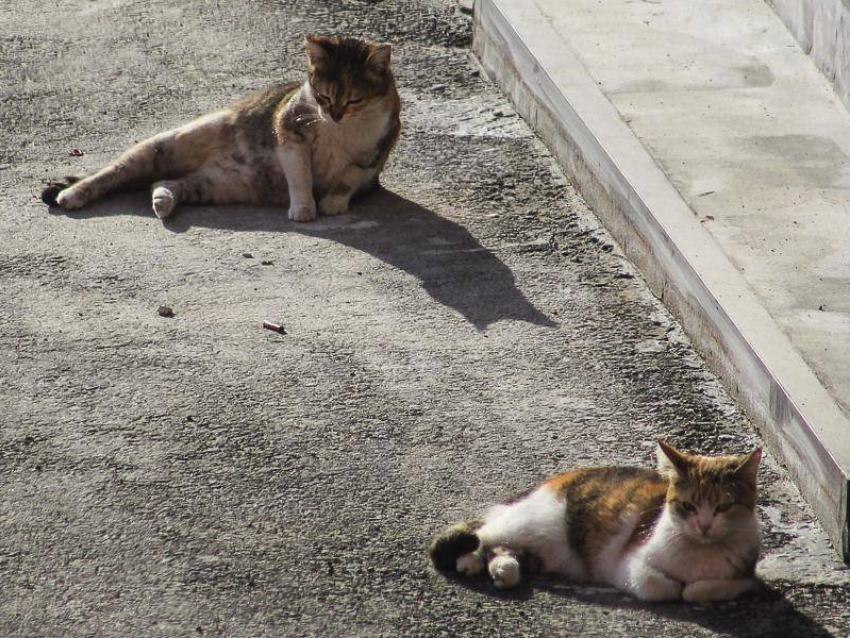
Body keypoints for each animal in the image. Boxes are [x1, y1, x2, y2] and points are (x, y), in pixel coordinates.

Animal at [44, 36, 402, 225]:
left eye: (355, 99)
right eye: (323, 95)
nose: (334, 114)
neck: (341, 130)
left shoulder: (375, 153)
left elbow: (348, 179)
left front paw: (334, 202)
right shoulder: (288, 130)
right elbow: (300, 176)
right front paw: (303, 208)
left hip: (213, 185)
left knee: (165, 182)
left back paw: (162, 200)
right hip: (162, 146)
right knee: (108, 174)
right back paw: (72, 194)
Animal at [430, 442, 760, 604]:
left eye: (723, 507)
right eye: (688, 506)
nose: (703, 526)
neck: (699, 552)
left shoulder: (746, 576)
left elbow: (697, 591)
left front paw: (694, 588)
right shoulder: (627, 564)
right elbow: (661, 587)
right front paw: (674, 587)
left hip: (545, 549)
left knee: (501, 546)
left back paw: (503, 568)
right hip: (534, 524)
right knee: (483, 532)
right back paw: (471, 559)